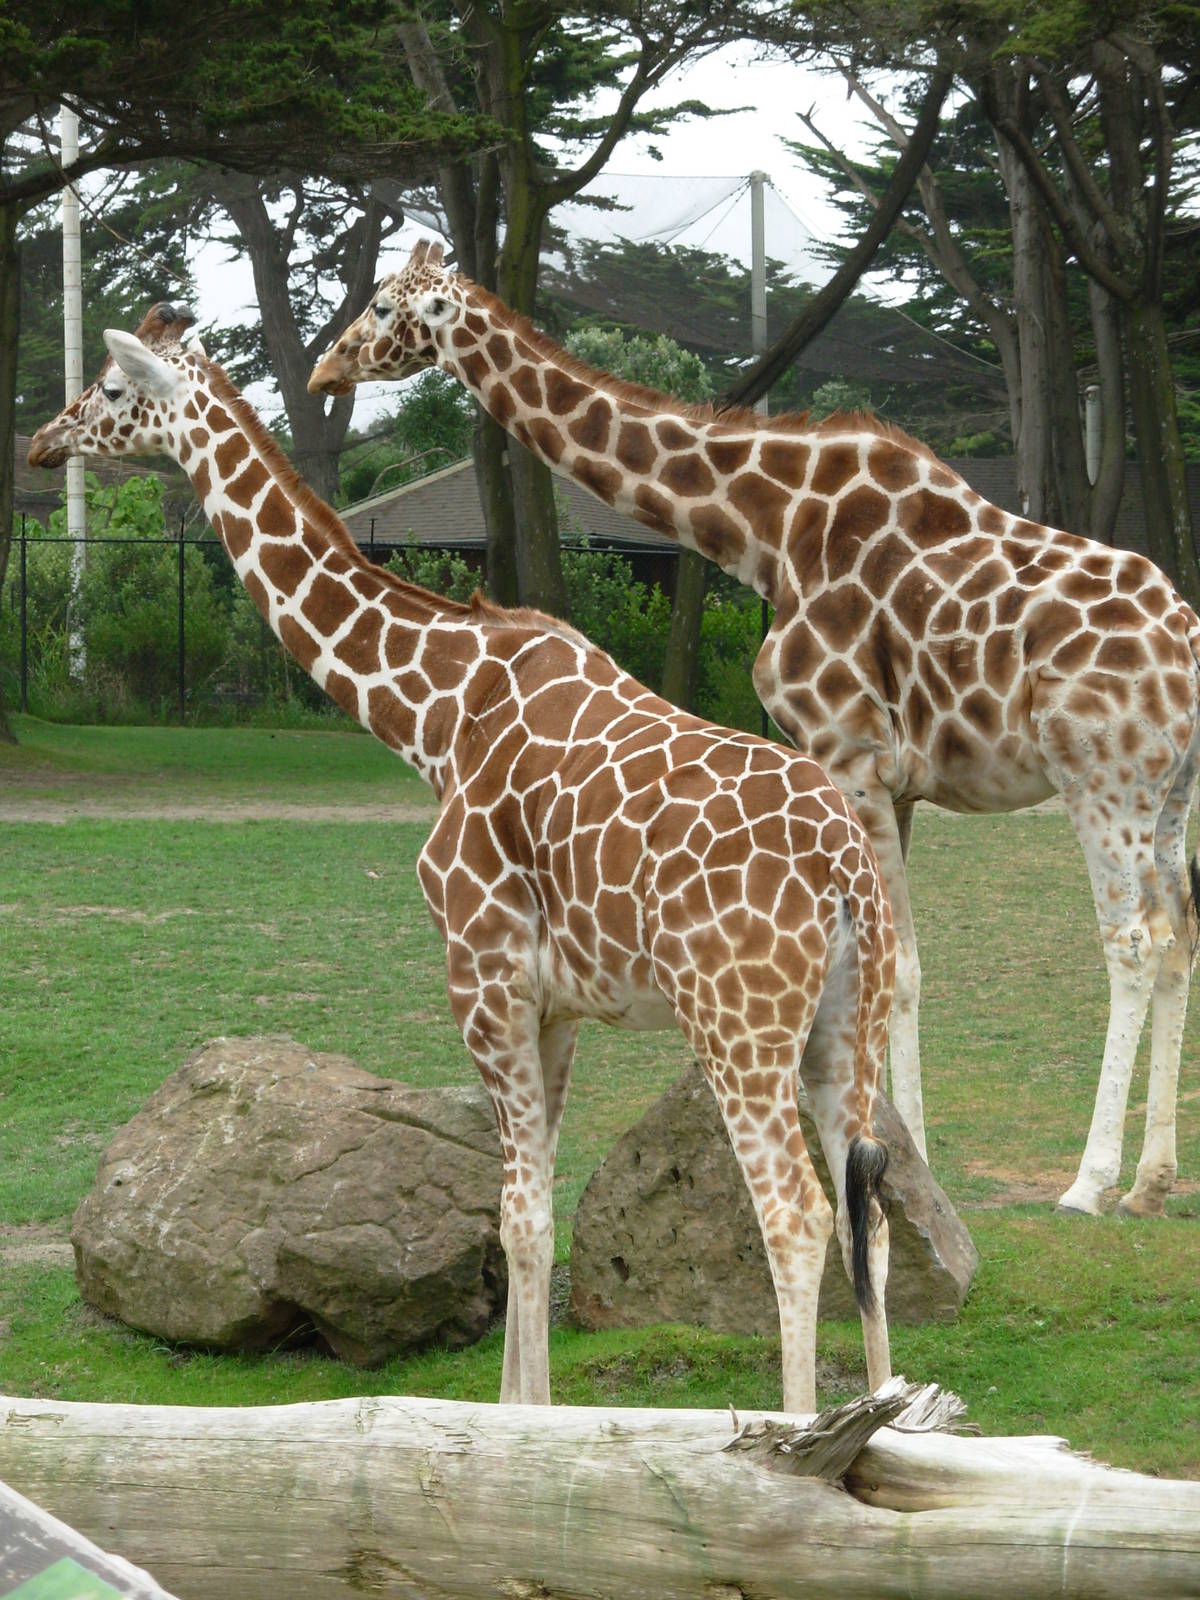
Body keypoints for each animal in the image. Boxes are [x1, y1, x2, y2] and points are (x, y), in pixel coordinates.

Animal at [30, 320, 895, 1414]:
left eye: (107, 387)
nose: (41, 442)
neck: (435, 713)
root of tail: (847, 870)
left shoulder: (479, 970)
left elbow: (519, 1212)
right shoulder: (555, 1002)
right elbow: (531, 1204)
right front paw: (525, 1422)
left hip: (738, 1023)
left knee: (796, 1215)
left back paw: (802, 1433)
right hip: (846, 1028)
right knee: (873, 1211)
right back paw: (893, 1417)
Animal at [310, 239, 1200, 1220]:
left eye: (383, 307)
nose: (324, 368)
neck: (766, 527)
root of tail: (1189, 648)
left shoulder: (847, 750)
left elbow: (901, 968)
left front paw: (905, 1157)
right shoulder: (889, 778)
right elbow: (895, 963)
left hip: (1102, 783)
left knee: (1132, 940)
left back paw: (1090, 1182)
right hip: (1170, 796)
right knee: (1181, 936)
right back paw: (1152, 1181)